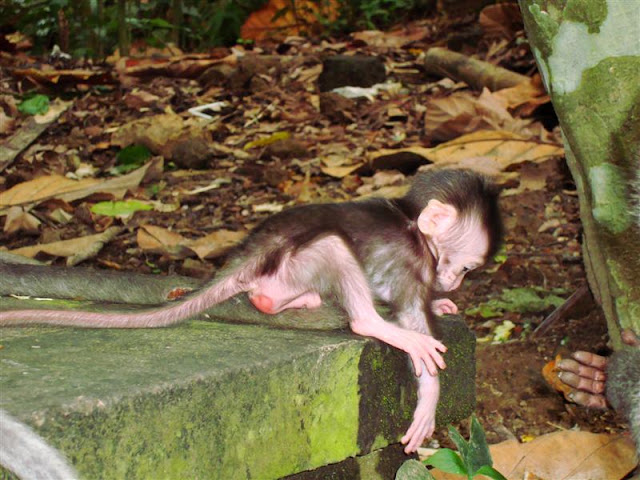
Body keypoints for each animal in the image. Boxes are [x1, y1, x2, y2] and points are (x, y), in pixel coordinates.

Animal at [0, 168, 503, 455]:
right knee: (333, 251)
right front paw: (428, 393)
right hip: (297, 261)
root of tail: (253, 248)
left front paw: (440, 301)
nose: (456, 281)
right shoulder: (410, 261)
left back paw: (298, 301)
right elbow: (413, 317)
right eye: (465, 265)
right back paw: (369, 321)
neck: (412, 224)